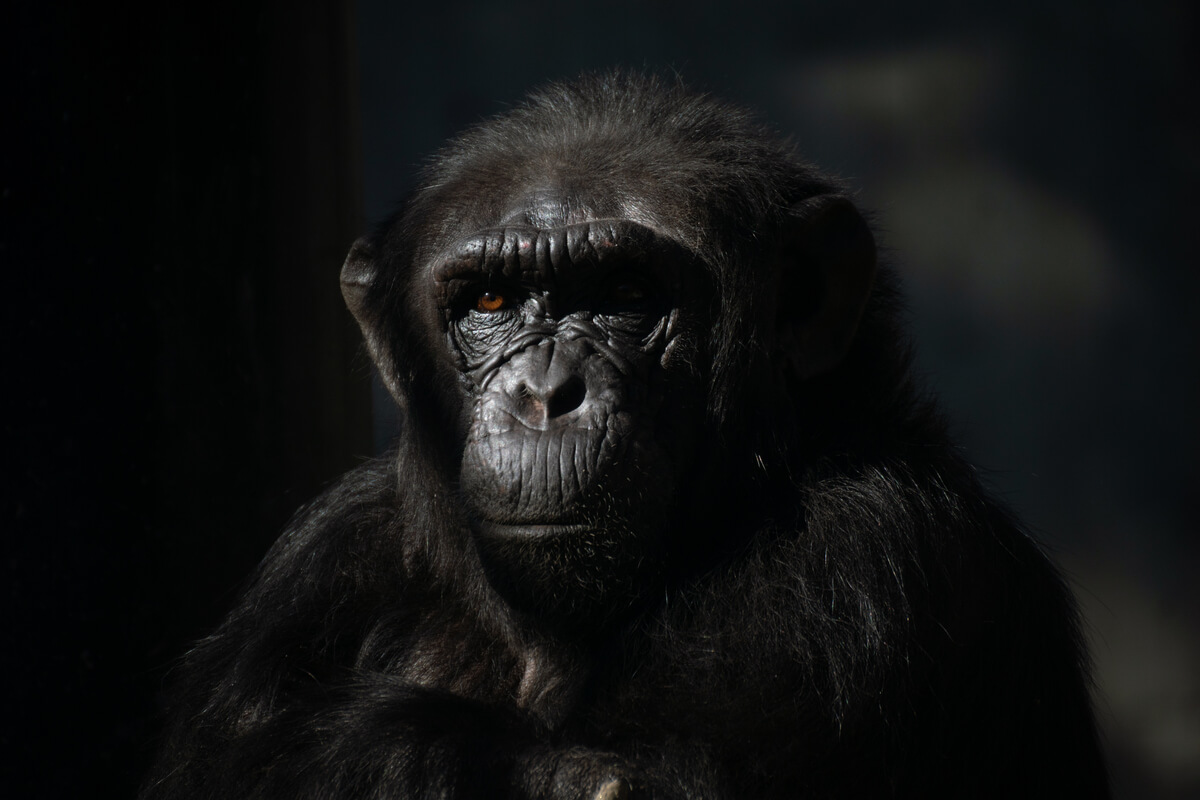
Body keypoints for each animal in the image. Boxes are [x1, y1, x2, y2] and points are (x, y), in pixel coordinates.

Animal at [145, 74, 1108, 800]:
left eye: (625, 293)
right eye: (490, 301)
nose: (545, 394)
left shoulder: (868, 555)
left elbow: (633, 778)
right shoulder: (324, 559)